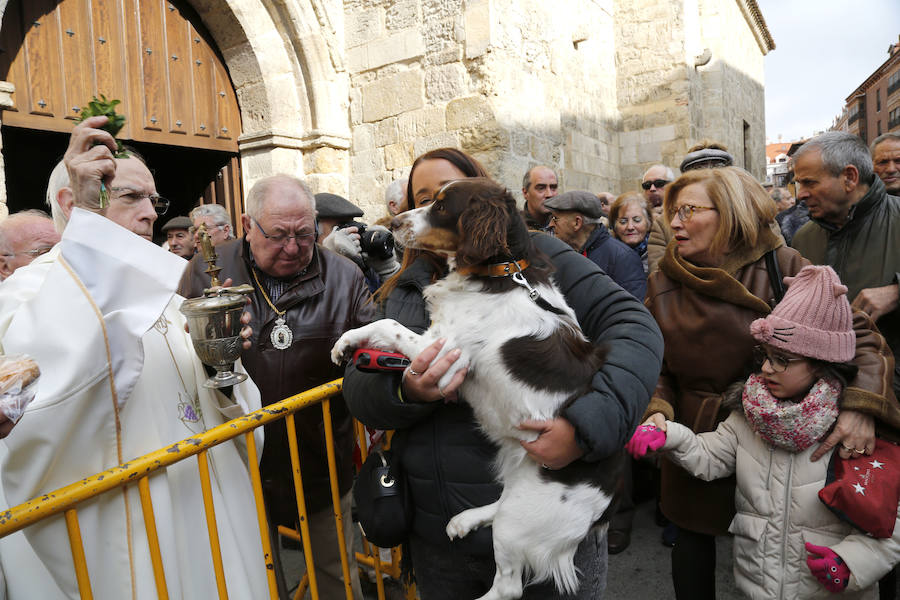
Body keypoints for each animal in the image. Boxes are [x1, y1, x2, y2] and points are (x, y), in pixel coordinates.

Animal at [330, 178, 620, 600]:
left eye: (441, 206)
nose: (392, 224)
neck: (499, 272)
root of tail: (609, 499)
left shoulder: (444, 348)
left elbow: (388, 326)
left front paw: (345, 342)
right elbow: (384, 328)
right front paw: (347, 344)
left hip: (527, 511)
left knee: (508, 586)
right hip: (521, 484)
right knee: (499, 504)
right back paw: (464, 520)